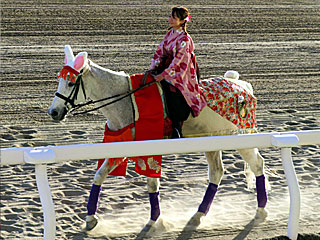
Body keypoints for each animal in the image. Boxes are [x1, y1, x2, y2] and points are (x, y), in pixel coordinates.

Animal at [47, 45, 268, 236]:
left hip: (240, 137)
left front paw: (155, 222)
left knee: (257, 164)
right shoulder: (122, 147)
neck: (127, 102)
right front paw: (90, 220)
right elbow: (99, 175)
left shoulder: (149, 151)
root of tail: (241, 85)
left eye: (71, 83)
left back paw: (261, 212)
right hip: (211, 141)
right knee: (216, 173)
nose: (53, 112)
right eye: (59, 80)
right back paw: (198, 215)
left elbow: (152, 184)